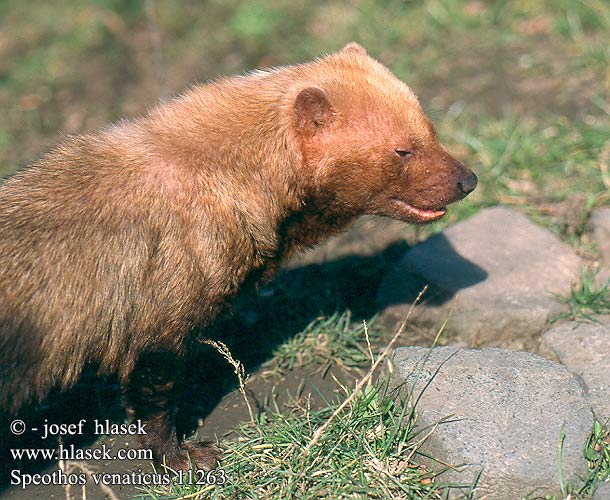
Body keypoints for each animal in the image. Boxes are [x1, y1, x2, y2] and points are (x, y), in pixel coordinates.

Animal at [0, 42, 476, 468]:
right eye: (403, 149)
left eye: (430, 129)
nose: (468, 179)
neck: (217, 176)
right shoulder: (161, 309)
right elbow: (155, 393)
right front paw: (182, 458)